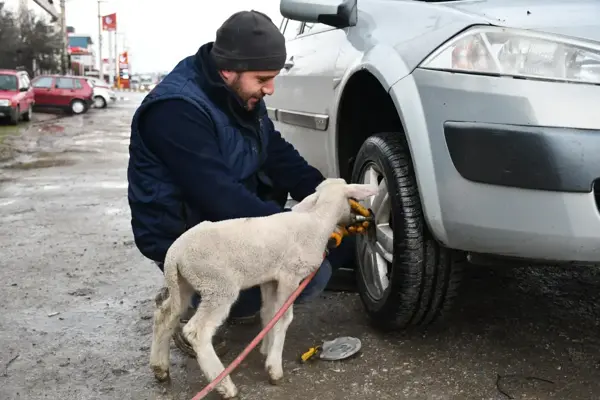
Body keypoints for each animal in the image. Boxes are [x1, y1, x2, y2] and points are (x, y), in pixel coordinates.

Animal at [148, 177, 378, 396]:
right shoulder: (290, 275)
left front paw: (267, 348)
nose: (356, 218)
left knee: (165, 315)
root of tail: (174, 254)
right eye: (351, 199)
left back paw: (160, 368)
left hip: (184, 283)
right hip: (217, 285)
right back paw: (224, 385)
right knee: (197, 331)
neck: (317, 220)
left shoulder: (270, 279)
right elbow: (283, 318)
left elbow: (269, 313)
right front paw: (274, 368)